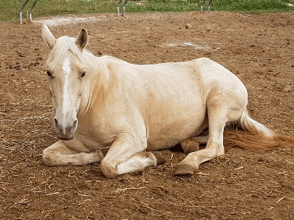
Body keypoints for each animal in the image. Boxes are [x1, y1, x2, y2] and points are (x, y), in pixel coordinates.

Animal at [41, 24, 294, 179]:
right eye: (48, 72)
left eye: (83, 73)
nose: (65, 127)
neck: (97, 97)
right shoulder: (74, 143)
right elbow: (49, 156)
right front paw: (94, 155)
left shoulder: (132, 139)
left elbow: (108, 166)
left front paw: (151, 158)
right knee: (210, 136)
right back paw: (187, 143)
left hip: (217, 105)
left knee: (216, 145)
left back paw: (187, 164)